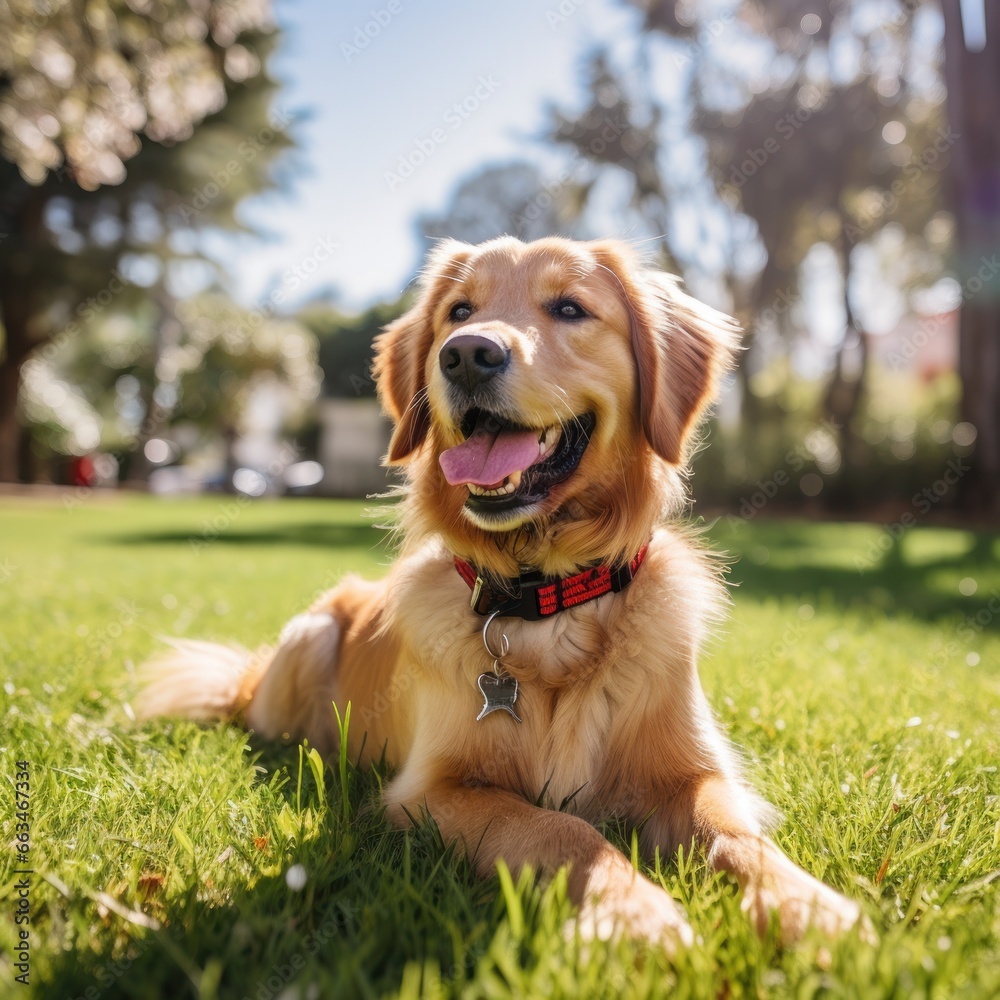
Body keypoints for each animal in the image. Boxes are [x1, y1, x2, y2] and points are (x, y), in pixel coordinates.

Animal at [139, 236, 868, 952]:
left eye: (570, 308)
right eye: (458, 312)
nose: (466, 355)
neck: (546, 596)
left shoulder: (696, 775)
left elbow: (739, 839)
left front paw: (813, 909)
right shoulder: (433, 789)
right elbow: (563, 829)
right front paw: (635, 916)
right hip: (308, 639)